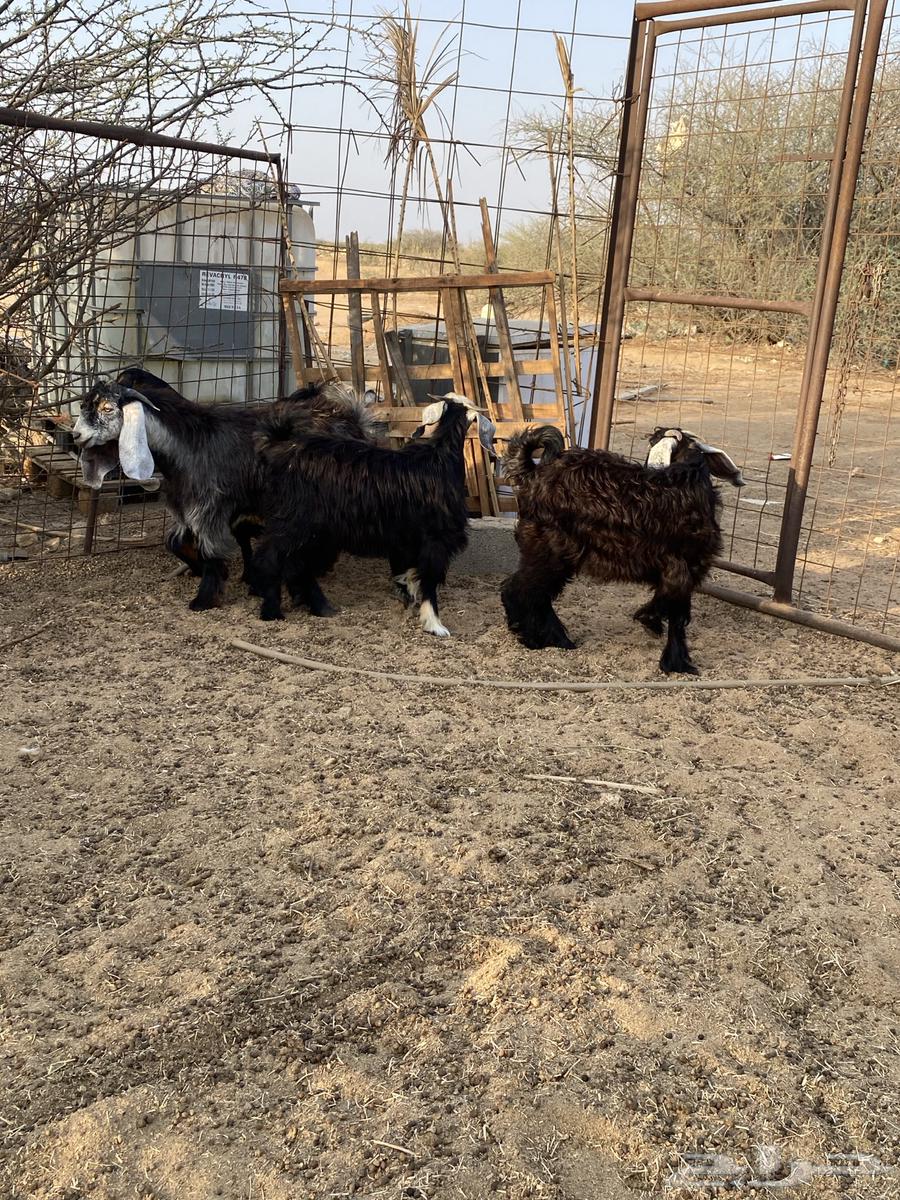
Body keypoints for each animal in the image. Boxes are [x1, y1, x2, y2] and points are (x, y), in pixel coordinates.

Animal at [71, 368, 376, 612]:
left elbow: (211, 551)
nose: (76, 435)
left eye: (108, 408)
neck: (187, 443)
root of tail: (352, 418)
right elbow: (174, 541)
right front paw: (203, 570)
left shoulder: (209, 506)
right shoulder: (185, 507)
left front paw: (204, 599)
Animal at [250, 393, 496, 635]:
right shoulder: (435, 539)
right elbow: (428, 579)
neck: (440, 460)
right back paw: (272, 612)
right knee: (271, 559)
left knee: (296, 565)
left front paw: (409, 603)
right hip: (294, 523)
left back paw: (319, 607)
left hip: (307, 530)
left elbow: (408, 575)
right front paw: (434, 624)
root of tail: (277, 449)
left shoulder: (406, 541)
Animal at [500, 425, 743, 674]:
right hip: (549, 550)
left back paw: (557, 639)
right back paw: (534, 637)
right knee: (520, 589)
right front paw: (677, 661)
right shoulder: (683, 568)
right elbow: (676, 614)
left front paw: (651, 623)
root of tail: (533, 474)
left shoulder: (675, 571)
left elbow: (668, 603)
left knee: (538, 594)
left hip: (555, 555)